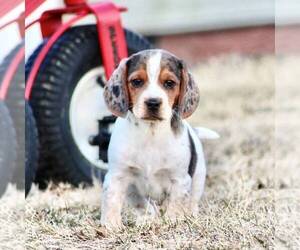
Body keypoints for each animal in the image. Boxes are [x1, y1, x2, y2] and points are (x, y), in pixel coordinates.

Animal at [101, 48, 218, 229]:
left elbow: (176, 203)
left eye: (169, 83)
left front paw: (173, 220)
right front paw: (111, 225)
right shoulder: (118, 176)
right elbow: (114, 200)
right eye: (137, 82)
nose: (153, 102)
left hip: (198, 177)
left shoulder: (180, 179)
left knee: (192, 200)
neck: (151, 131)